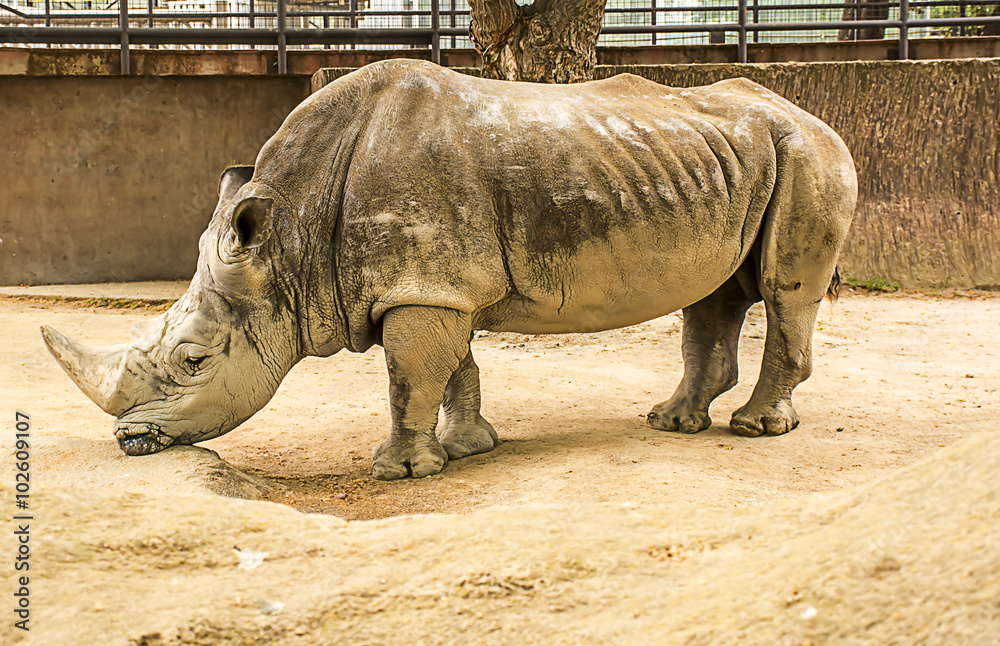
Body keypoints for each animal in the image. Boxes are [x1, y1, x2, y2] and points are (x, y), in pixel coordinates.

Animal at [41, 59, 857, 480]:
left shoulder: (425, 287)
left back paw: (755, 430)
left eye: (194, 360)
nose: (128, 442)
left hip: (811, 153)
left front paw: (398, 471)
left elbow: (410, 378)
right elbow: (454, 366)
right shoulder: (437, 285)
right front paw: (470, 448)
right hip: (737, 157)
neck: (289, 236)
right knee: (715, 295)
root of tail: (813, 113)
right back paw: (674, 422)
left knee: (785, 291)